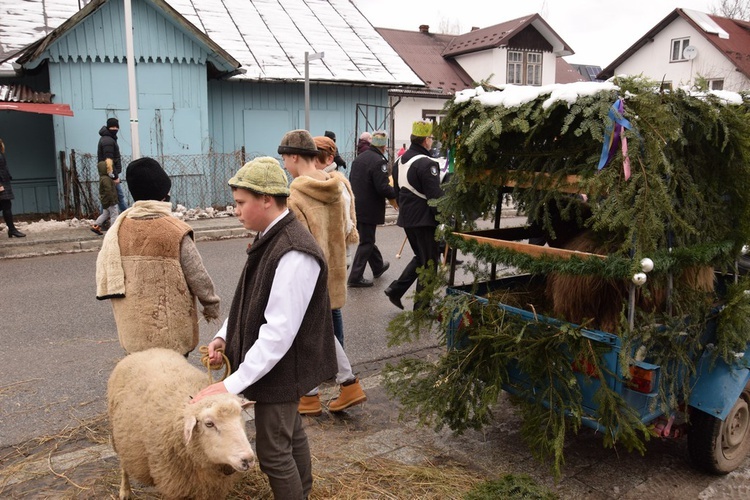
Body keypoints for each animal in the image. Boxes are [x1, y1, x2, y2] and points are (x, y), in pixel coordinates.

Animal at [107, 348, 258, 500]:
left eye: (241, 415)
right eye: (209, 424)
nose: (248, 459)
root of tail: (146, 351)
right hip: (118, 436)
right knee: (124, 465)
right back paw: (125, 491)